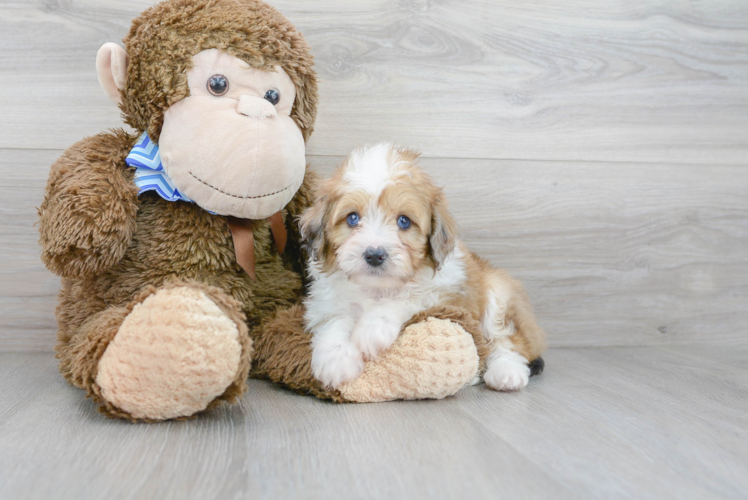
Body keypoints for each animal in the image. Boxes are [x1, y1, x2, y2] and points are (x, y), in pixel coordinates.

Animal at [300, 144, 548, 390]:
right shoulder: (326, 302)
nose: (375, 255)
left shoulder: (448, 294)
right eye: (352, 218)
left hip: (500, 291)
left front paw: (372, 328)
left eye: (404, 221)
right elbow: (335, 320)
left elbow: (409, 298)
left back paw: (507, 372)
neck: (378, 288)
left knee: (506, 339)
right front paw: (336, 360)